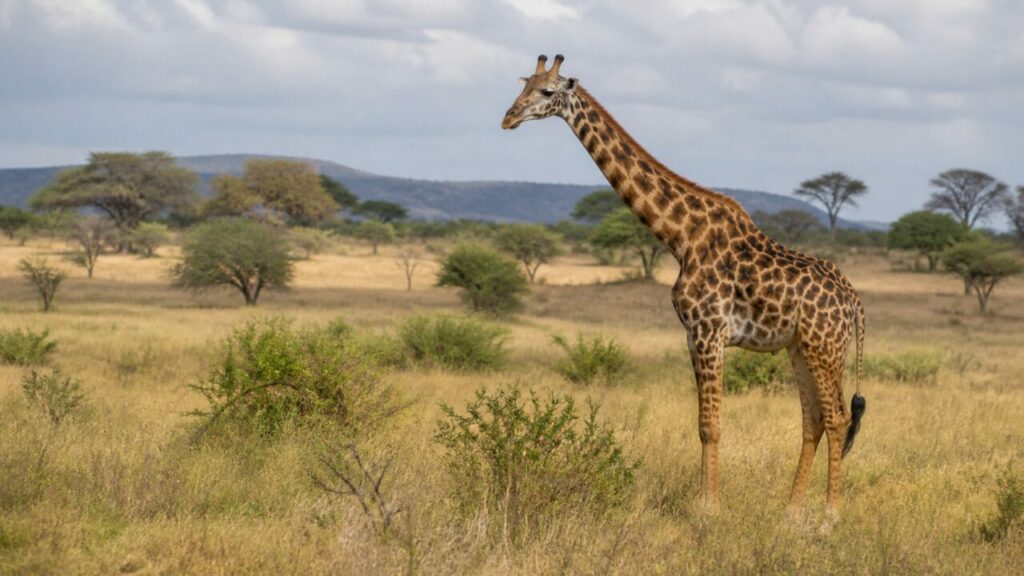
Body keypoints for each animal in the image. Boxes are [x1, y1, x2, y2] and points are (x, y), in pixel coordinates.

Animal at [502, 55, 867, 521]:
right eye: (523, 85)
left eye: (547, 91)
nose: (508, 118)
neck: (680, 237)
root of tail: (853, 300)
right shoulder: (695, 335)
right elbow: (703, 424)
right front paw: (708, 502)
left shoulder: (708, 332)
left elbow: (711, 425)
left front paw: (708, 508)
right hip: (800, 347)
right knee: (815, 419)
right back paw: (790, 512)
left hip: (825, 347)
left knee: (838, 417)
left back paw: (828, 517)